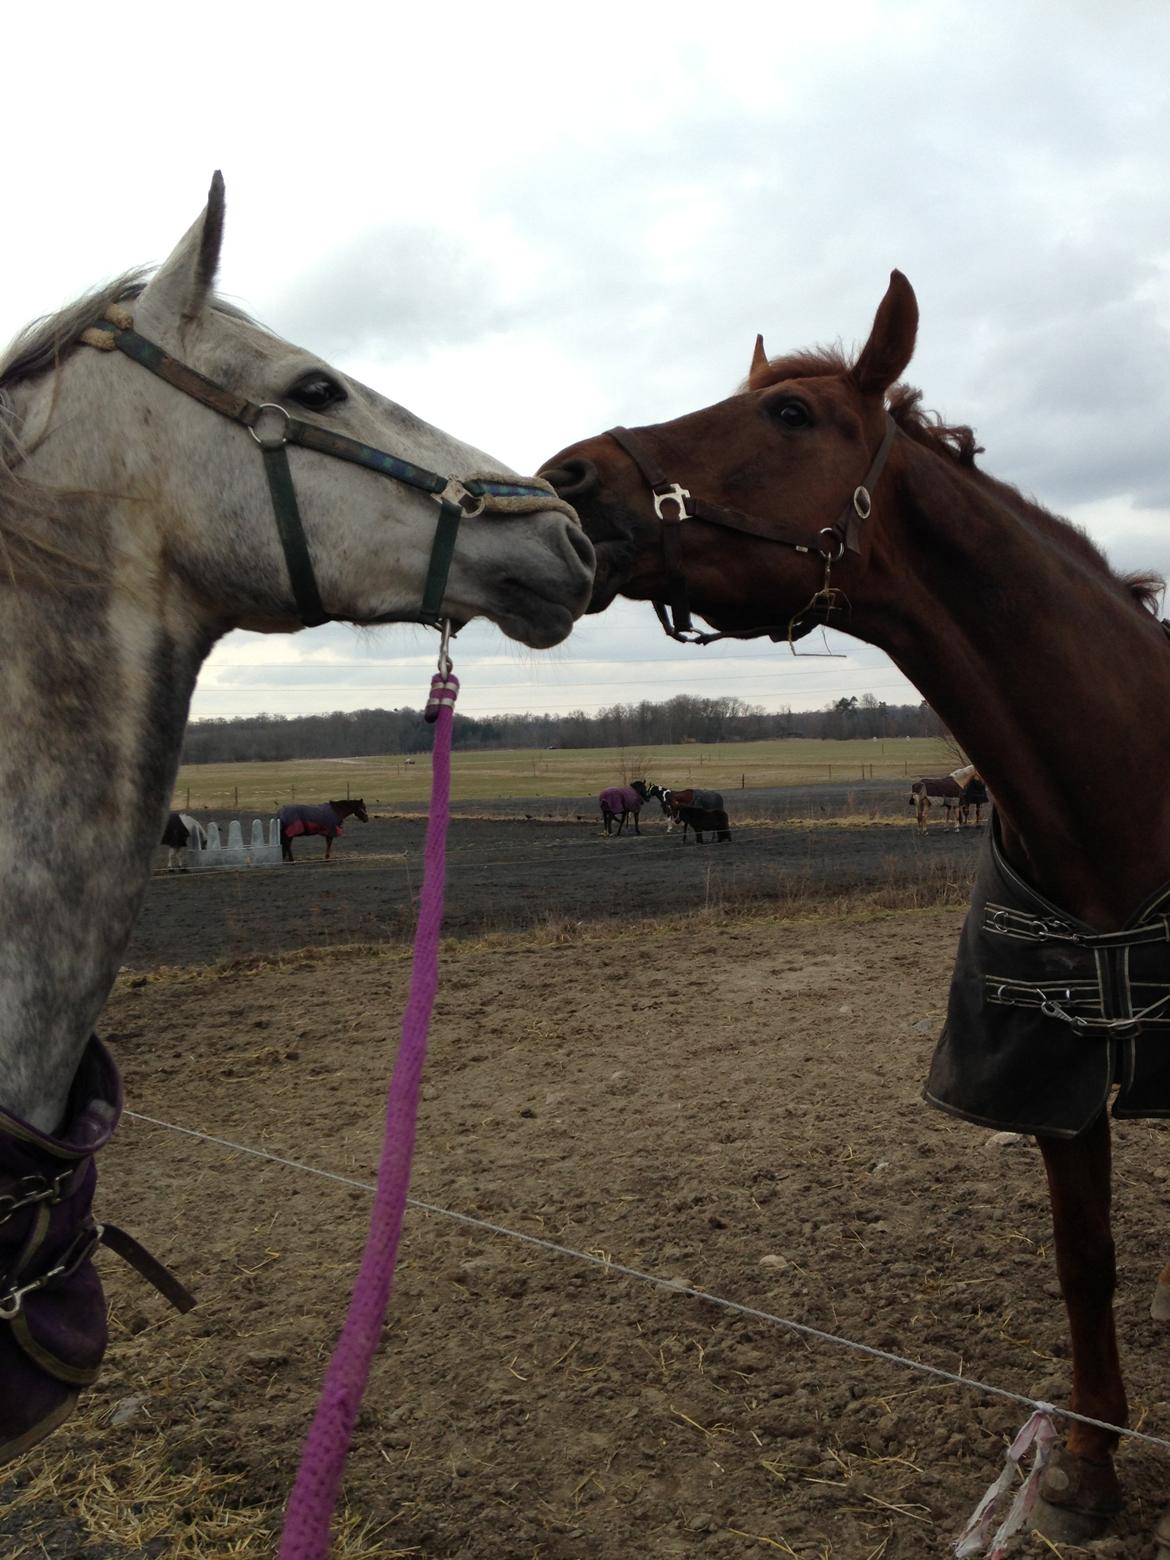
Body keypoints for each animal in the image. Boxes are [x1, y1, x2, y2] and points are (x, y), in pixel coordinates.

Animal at [542, 268, 1170, 1547]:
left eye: (791, 416)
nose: (567, 476)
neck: (1124, 796)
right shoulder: (1053, 1073)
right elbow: (1085, 1259)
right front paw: (1087, 1471)